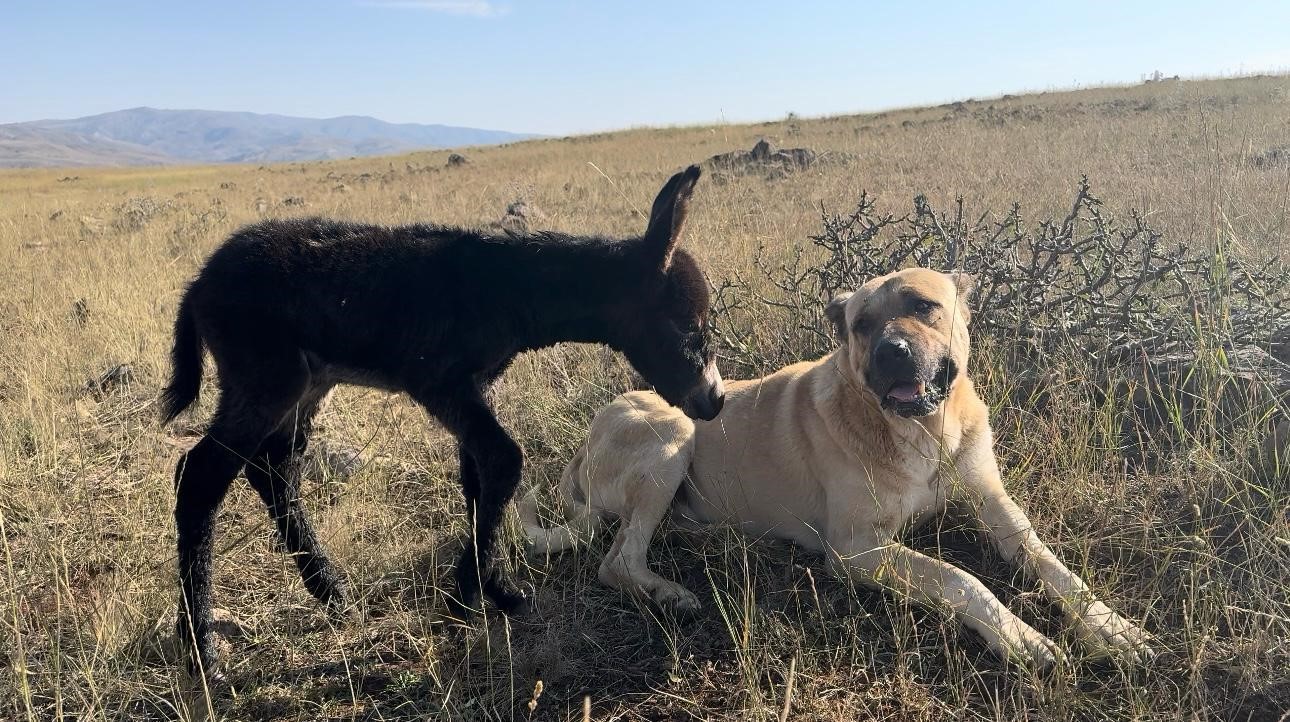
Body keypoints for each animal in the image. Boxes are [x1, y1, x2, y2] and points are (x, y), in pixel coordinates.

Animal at [162, 165, 727, 680]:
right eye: (688, 326)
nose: (714, 401)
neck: (510, 288)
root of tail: (198, 284)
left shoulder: (473, 389)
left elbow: (477, 476)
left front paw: (497, 590)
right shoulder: (441, 383)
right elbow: (503, 461)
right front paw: (464, 598)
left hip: (303, 387)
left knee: (273, 469)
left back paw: (330, 591)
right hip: (266, 378)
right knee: (200, 476)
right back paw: (202, 652)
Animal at [518, 268, 1155, 670]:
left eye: (923, 306)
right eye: (861, 325)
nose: (892, 352)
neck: (923, 432)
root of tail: (584, 445)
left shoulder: (994, 504)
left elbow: (1051, 564)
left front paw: (1111, 626)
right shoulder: (855, 550)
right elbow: (960, 578)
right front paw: (1022, 638)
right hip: (672, 433)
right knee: (617, 560)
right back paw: (669, 593)